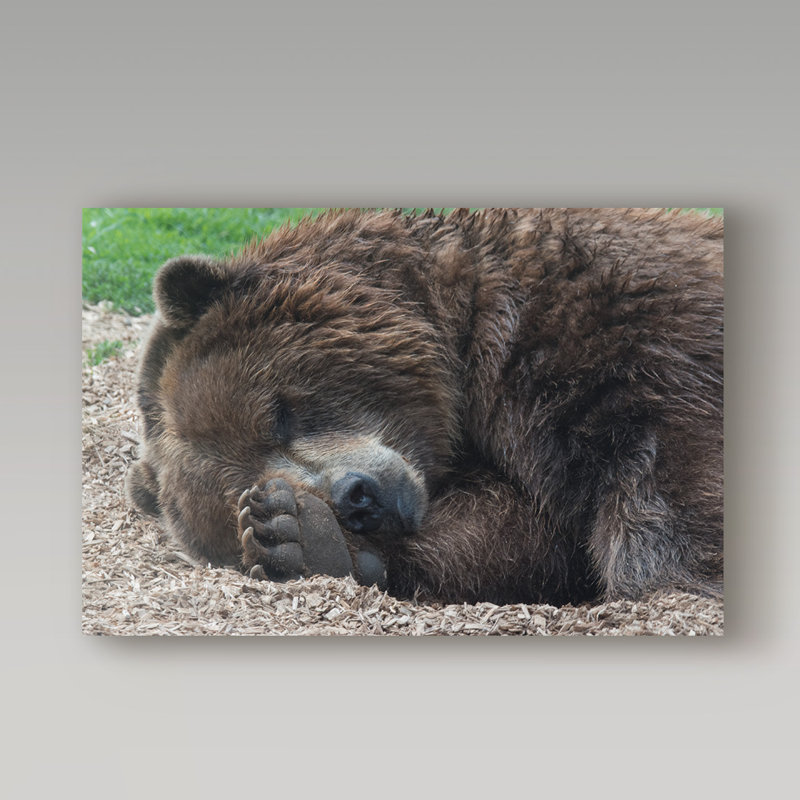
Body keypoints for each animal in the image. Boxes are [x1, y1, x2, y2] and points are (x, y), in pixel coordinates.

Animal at [126, 208, 723, 606]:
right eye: (241, 488)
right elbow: (516, 537)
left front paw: (672, 580)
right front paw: (299, 536)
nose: (358, 499)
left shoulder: (609, 321)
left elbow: (669, 460)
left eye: (279, 412)